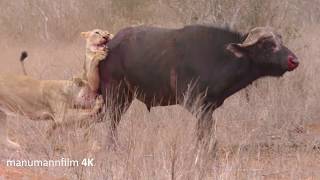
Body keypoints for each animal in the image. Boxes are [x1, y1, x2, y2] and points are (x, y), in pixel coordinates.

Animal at [99, 25, 298, 139]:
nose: (293, 60)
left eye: (281, 41)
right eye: (267, 44)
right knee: (111, 124)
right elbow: (207, 135)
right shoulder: (195, 104)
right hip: (115, 95)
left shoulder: (208, 108)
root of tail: (110, 44)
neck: (221, 57)